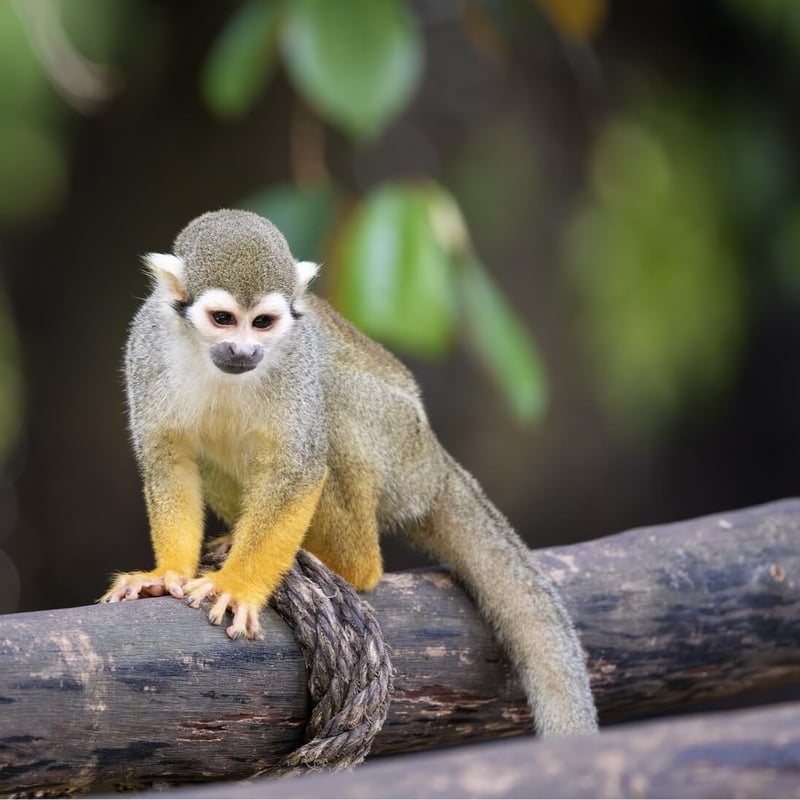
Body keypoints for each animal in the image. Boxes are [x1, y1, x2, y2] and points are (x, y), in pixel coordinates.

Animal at [102, 209, 598, 737]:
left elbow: (298, 468)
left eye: (262, 323)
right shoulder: (147, 347)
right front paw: (166, 574)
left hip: (397, 440)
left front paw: (237, 586)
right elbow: (168, 460)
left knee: (333, 401)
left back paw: (349, 564)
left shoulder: (296, 359)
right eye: (222, 320)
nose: (243, 351)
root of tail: (435, 465)